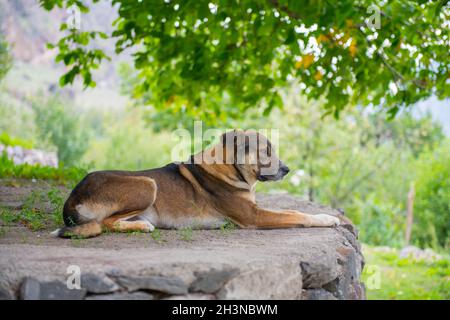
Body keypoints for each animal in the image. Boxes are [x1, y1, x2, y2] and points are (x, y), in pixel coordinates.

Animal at [52, 129, 340, 238]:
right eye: (264, 151)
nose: (287, 170)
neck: (229, 169)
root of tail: (71, 200)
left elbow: (292, 210)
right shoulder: (253, 216)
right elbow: (296, 214)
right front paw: (326, 219)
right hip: (147, 184)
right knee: (105, 223)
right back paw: (142, 225)